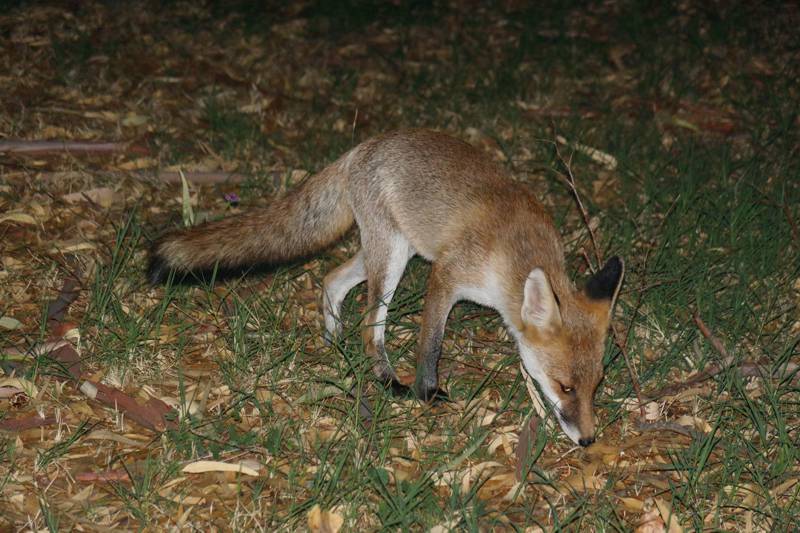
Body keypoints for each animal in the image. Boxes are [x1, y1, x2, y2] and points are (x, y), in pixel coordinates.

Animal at [150, 129, 624, 444]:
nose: (588, 440)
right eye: (565, 387)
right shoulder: (446, 275)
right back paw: (382, 375)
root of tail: (366, 145)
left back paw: (333, 338)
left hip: (388, 251)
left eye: (596, 385)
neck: (514, 254)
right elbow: (431, 342)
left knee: (331, 279)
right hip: (392, 257)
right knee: (369, 326)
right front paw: (426, 391)